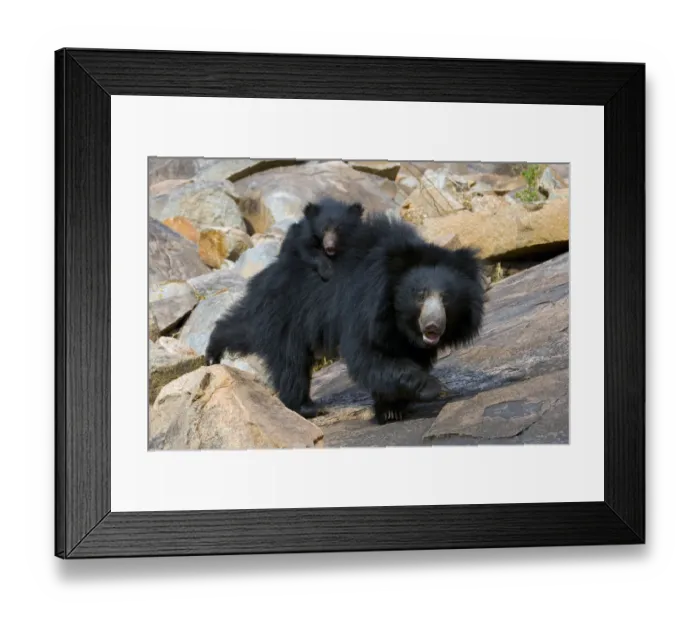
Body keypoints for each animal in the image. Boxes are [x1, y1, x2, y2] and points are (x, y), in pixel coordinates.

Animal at [205, 208, 485, 425]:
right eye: (420, 295)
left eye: (446, 298)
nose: (433, 326)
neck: (398, 317)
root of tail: (271, 271)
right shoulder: (363, 308)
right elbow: (369, 356)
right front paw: (432, 388)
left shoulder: (400, 333)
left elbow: (403, 355)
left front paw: (392, 408)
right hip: (287, 310)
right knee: (289, 359)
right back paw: (304, 406)